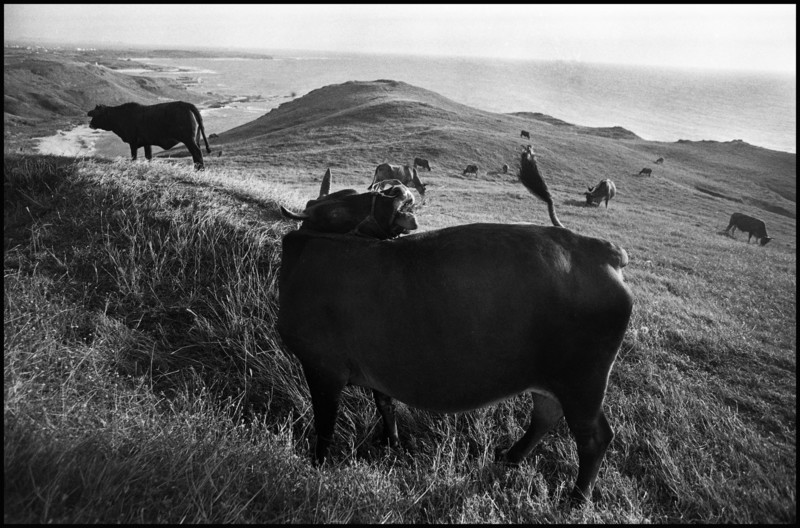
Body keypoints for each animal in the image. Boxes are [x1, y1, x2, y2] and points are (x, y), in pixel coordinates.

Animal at [278, 168, 636, 504]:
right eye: (337, 210)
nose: (397, 191)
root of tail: (599, 248)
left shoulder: (322, 367)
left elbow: (325, 425)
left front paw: (318, 468)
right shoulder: (369, 367)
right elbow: (385, 405)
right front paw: (393, 443)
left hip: (582, 379)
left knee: (593, 437)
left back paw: (577, 498)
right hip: (553, 376)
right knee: (547, 414)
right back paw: (512, 457)